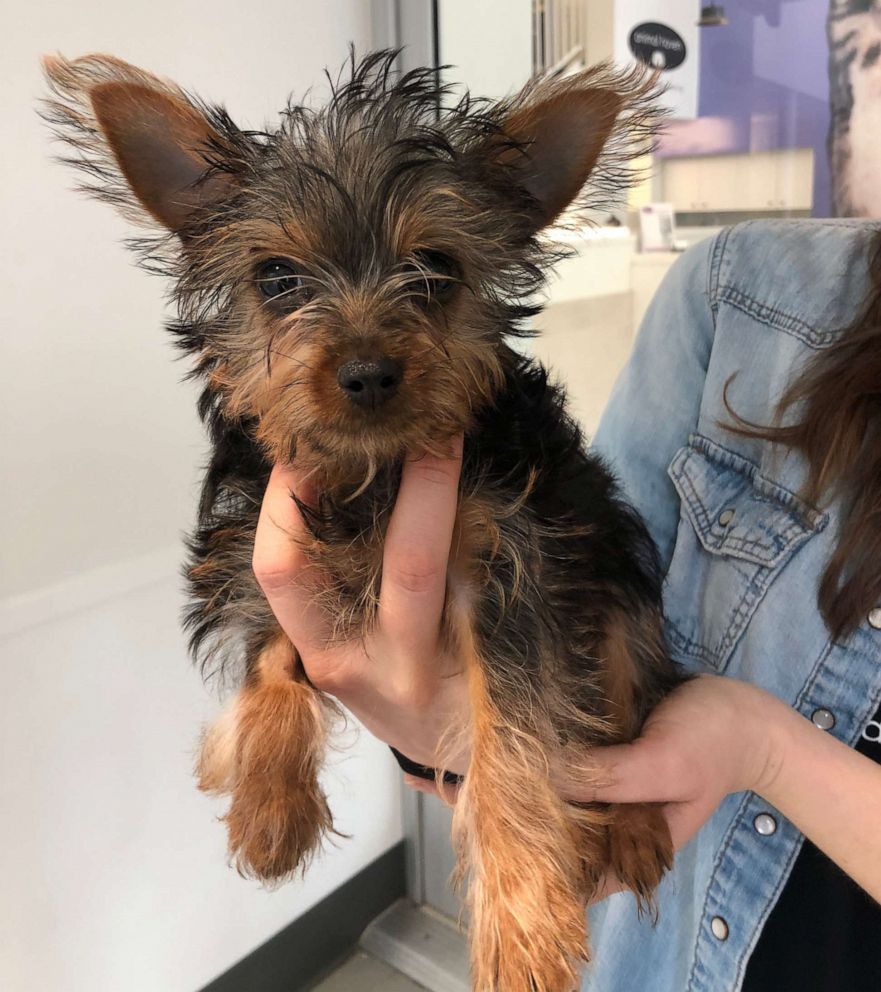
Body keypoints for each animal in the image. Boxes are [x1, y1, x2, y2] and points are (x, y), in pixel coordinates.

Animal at [44, 52, 684, 992]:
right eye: (277, 280)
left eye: (435, 269)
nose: (369, 371)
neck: (370, 478)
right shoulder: (258, 558)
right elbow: (270, 662)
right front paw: (268, 809)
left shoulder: (516, 570)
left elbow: (512, 739)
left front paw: (523, 927)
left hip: (622, 589)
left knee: (635, 703)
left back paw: (635, 830)